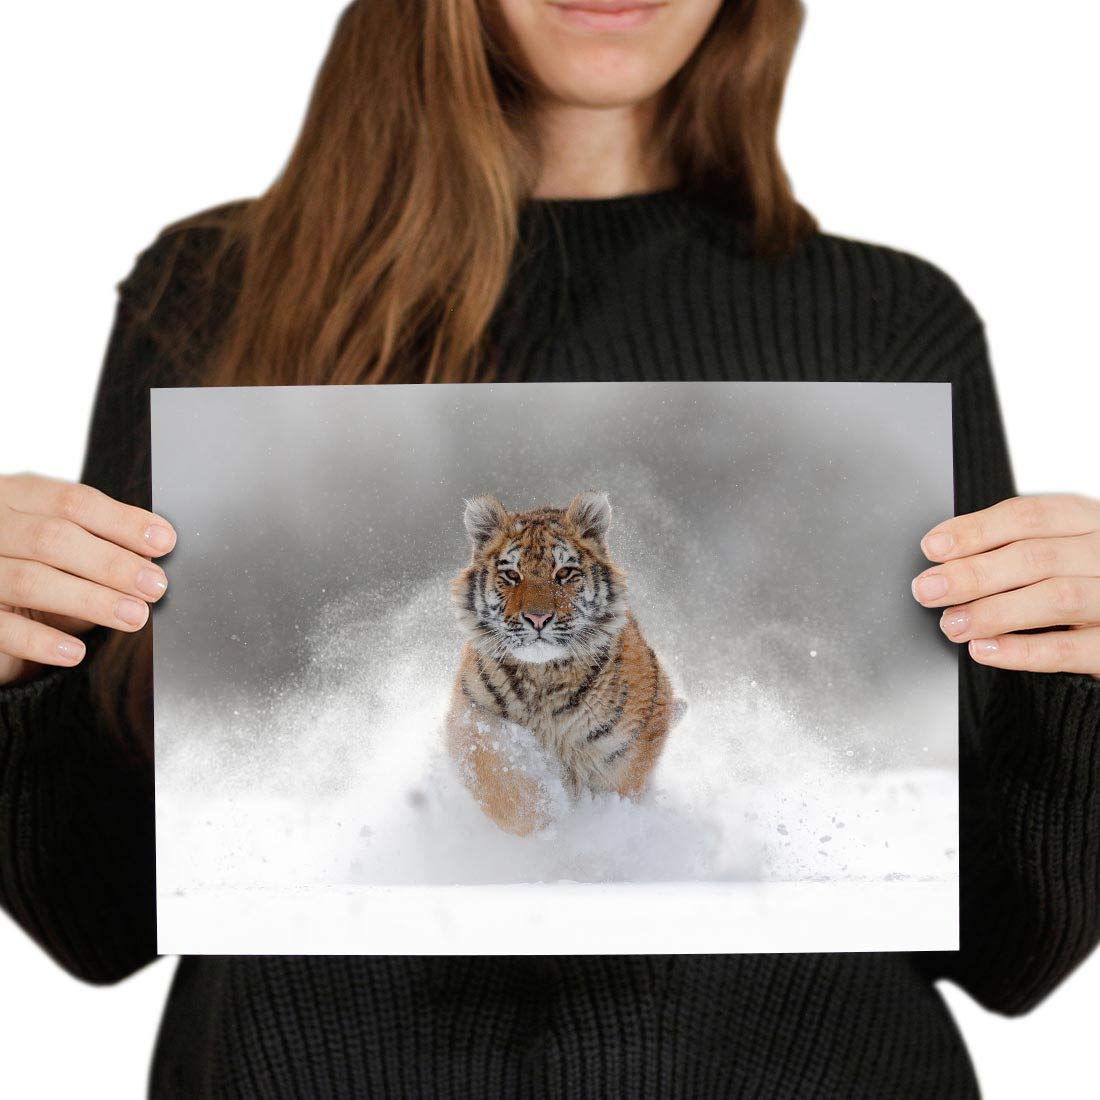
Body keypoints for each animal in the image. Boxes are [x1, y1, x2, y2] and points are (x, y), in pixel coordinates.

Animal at [445, 489, 686, 836]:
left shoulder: (623, 750)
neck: (543, 676)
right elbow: (501, 781)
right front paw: (544, 821)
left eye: (563, 573)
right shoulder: (472, 718)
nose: (537, 618)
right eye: (511, 575)